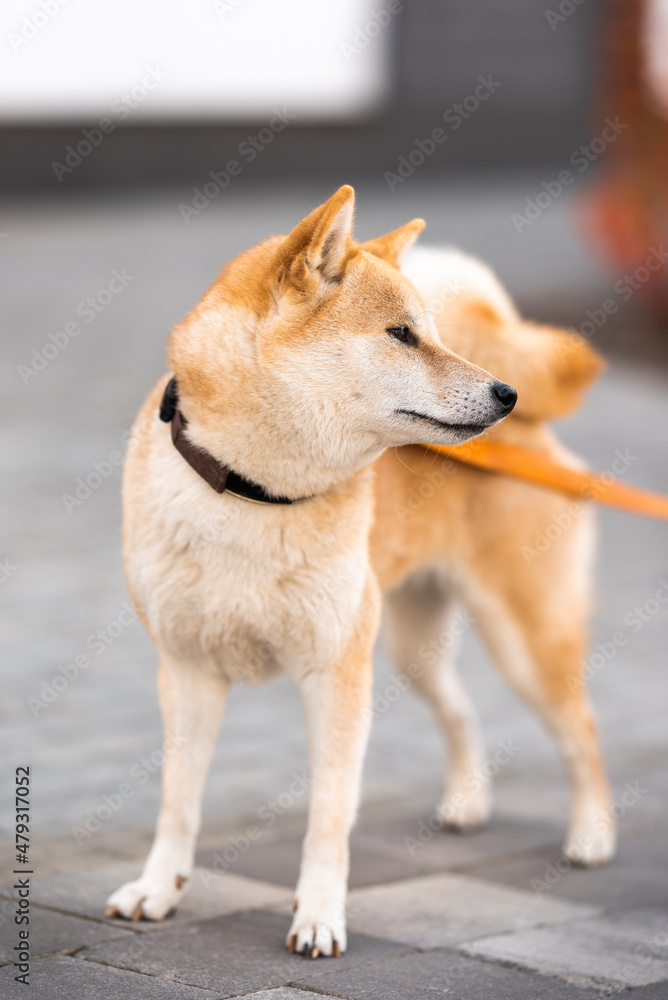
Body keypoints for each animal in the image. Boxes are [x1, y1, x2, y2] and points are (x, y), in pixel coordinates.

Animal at [105, 184, 612, 956]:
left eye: (429, 332)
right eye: (401, 334)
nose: (505, 394)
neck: (254, 495)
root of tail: (535, 435)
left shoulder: (336, 675)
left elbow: (329, 816)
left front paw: (318, 916)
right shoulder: (188, 669)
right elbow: (178, 803)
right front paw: (158, 890)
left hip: (522, 641)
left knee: (582, 734)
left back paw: (591, 837)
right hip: (409, 646)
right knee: (462, 710)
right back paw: (467, 803)